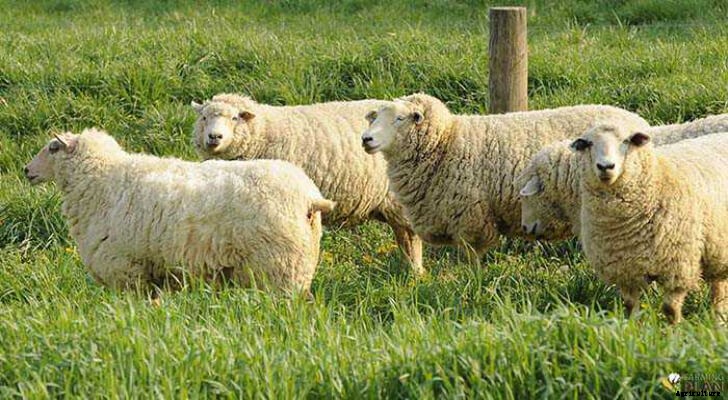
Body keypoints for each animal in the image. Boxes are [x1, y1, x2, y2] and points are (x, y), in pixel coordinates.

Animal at [24, 128, 335, 295]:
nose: (26, 170)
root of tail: (309, 198)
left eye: (52, 148)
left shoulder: (125, 269)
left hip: (278, 270)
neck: (101, 181)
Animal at [191, 94, 424, 274]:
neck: (264, 132)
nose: (214, 136)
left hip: (400, 201)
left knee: (409, 237)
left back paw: (414, 272)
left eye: (235, 118)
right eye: (204, 117)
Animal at [360, 93, 648, 254]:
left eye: (399, 119)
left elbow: (472, 261)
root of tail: (639, 122)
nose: (366, 139)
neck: (445, 143)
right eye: (374, 119)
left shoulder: (470, 219)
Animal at [572, 124, 728, 324]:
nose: (606, 166)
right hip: (717, 249)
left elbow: (670, 309)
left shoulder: (678, 265)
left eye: (626, 141)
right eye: (589, 144)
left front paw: (675, 330)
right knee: (719, 285)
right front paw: (633, 328)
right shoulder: (625, 270)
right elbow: (631, 306)